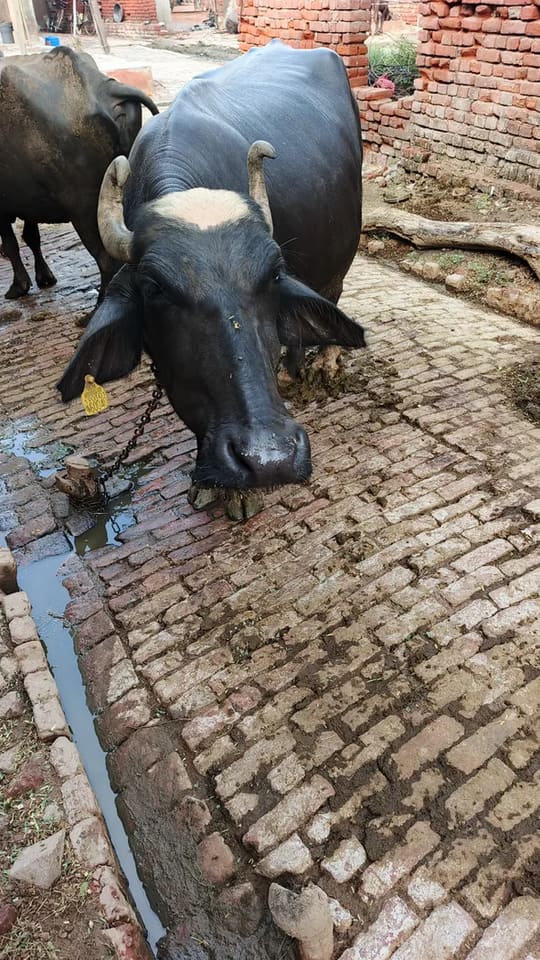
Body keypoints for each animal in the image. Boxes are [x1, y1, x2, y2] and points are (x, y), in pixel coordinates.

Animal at [0, 46, 158, 300]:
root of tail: (105, 87)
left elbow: (11, 244)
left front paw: (19, 286)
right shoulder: (28, 199)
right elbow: (31, 237)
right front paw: (44, 277)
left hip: (84, 204)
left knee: (107, 258)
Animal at [58, 41, 365, 517]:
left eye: (274, 274)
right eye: (155, 289)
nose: (271, 459)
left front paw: (241, 495)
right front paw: (208, 482)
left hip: (345, 248)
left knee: (334, 292)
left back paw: (325, 363)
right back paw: (290, 371)